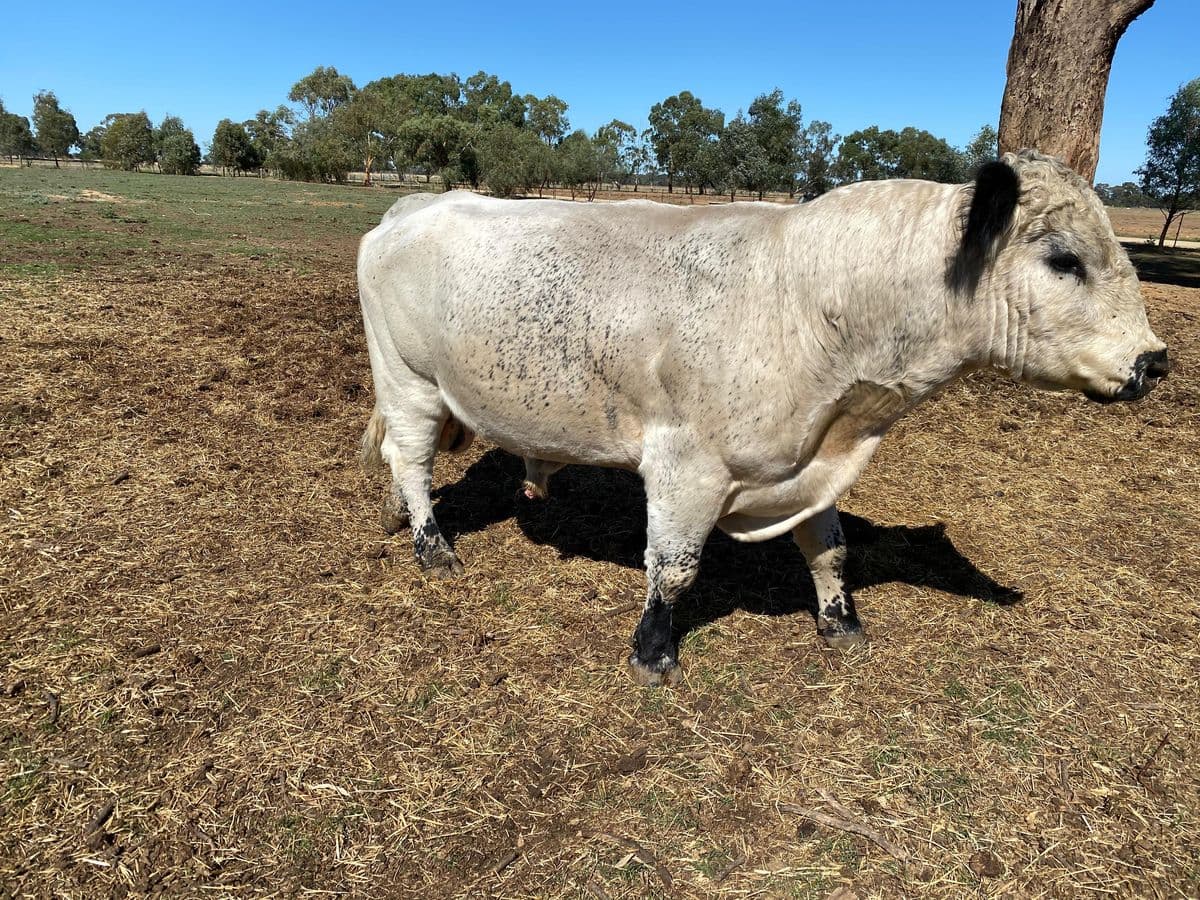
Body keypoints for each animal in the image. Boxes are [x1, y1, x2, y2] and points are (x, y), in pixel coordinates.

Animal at [357, 151, 1170, 686]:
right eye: (1064, 260)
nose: (1154, 361)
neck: (807, 298)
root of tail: (413, 205)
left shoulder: (814, 459)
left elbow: (830, 548)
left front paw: (841, 623)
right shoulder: (685, 466)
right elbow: (675, 568)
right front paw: (652, 652)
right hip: (409, 381)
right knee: (413, 459)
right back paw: (431, 544)